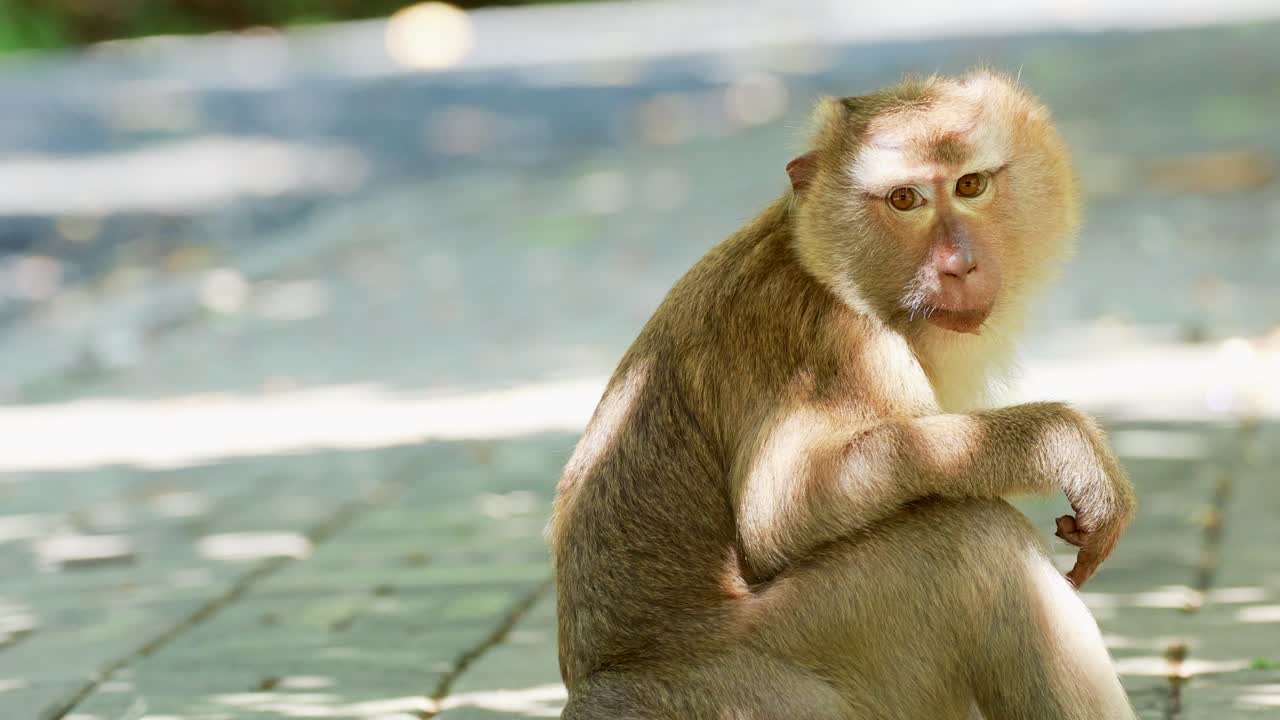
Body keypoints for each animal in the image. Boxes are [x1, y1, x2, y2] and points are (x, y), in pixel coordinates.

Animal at [547, 71, 1138, 720]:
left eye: (970, 185)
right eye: (904, 199)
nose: (958, 265)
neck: (829, 269)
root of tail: (603, 687)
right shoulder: (834, 343)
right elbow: (780, 508)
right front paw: (1055, 441)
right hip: (758, 686)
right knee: (972, 540)